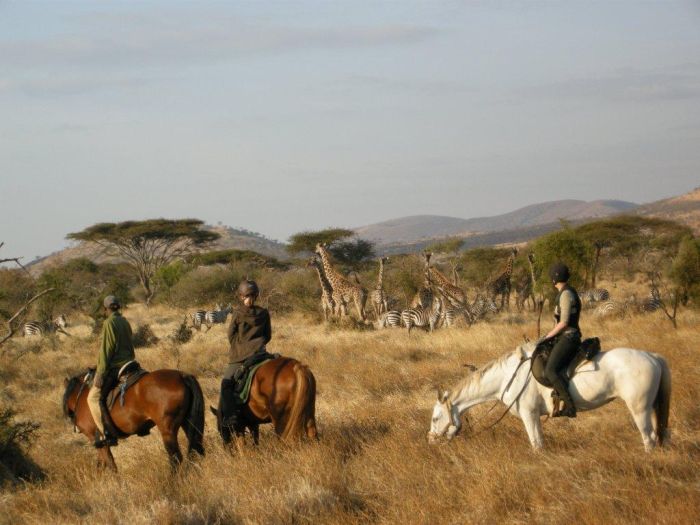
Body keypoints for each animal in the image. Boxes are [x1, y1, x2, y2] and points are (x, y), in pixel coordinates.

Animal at [61, 368, 205, 470]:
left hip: (167, 430)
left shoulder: (96, 439)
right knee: (196, 450)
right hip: (187, 423)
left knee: (175, 458)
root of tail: (182, 376)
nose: (75, 427)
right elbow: (101, 464)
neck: (81, 396)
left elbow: (110, 463)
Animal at [426, 344, 672, 450]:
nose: (431, 440)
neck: (509, 376)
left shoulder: (529, 415)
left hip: (640, 409)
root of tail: (653, 356)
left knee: (649, 438)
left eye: (435, 418)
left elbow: (537, 444)